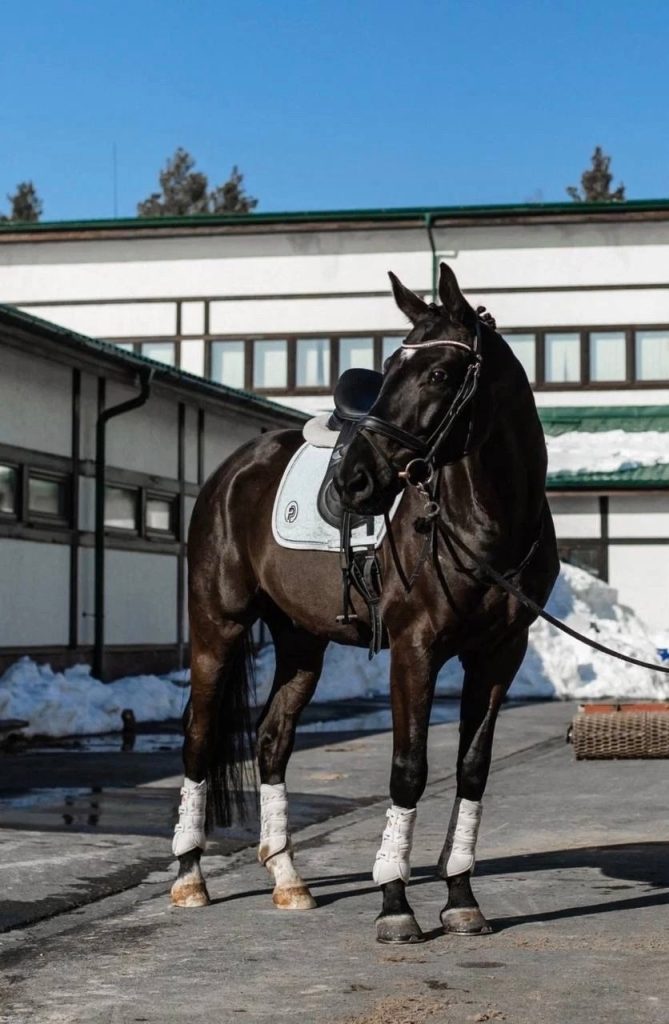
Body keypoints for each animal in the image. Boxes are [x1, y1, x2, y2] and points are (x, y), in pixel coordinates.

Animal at [170, 262, 559, 944]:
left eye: (439, 373)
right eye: (388, 366)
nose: (350, 482)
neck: (487, 524)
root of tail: (231, 472)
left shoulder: (499, 655)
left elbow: (472, 768)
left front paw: (460, 897)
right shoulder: (415, 648)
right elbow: (409, 768)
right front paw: (395, 903)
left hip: (301, 641)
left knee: (272, 741)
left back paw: (289, 880)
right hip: (218, 626)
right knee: (198, 737)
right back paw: (191, 876)